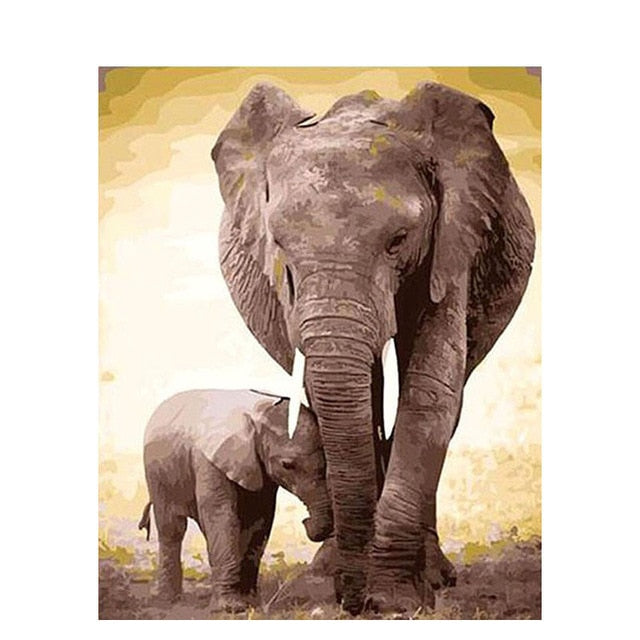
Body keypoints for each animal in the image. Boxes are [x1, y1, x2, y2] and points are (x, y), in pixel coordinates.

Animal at [139, 388, 332, 612]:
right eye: (287, 465)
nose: (305, 521)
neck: (258, 416)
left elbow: (260, 520)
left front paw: (250, 603)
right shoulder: (209, 461)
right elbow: (222, 515)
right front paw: (230, 609)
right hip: (156, 473)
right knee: (172, 528)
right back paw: (167, 599)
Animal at [211, 81, 535, 614]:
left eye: (398, 240)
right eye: (279, 244)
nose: (352, 600)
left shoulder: (453, 243)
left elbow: (430, 392)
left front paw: (394, 599)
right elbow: (334, 395)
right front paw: (356, 585)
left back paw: (434, 575)